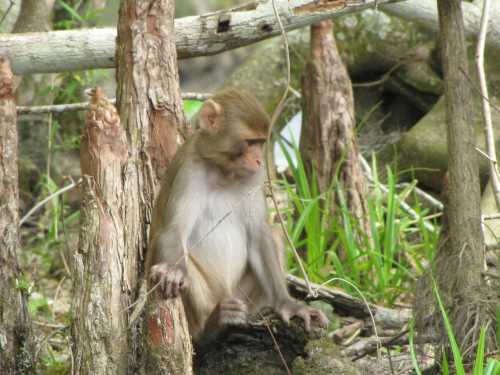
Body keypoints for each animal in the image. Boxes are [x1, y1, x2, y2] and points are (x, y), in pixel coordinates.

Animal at [145, 89, 328, 348]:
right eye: (250, 142)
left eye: (261, 143)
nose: (259, 160)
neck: (223, 171)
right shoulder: (190, 171)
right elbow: (173, 232)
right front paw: (173, 272)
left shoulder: (255, 177)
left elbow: (259, 235)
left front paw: (288, 304)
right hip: (207, 303)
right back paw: (211, 328)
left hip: (240, 296)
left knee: (274, 234)